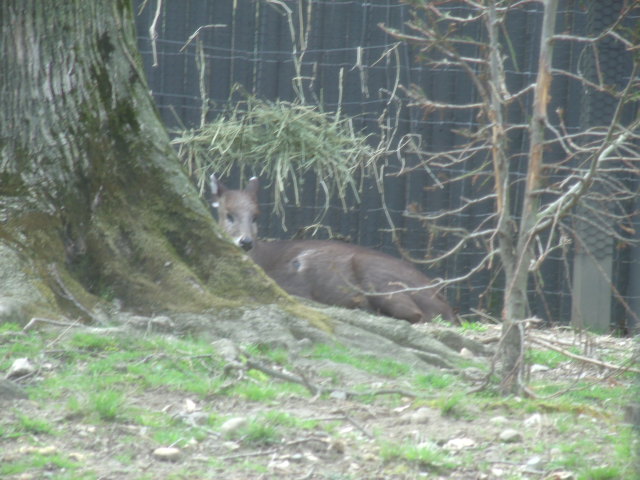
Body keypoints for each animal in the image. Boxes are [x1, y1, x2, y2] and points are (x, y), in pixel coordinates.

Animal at [210, 174, 457, 324]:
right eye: (228, 214)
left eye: (256, 215)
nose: (246, 241)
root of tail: (447, 306)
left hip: (377, 275)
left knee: (417, 315)